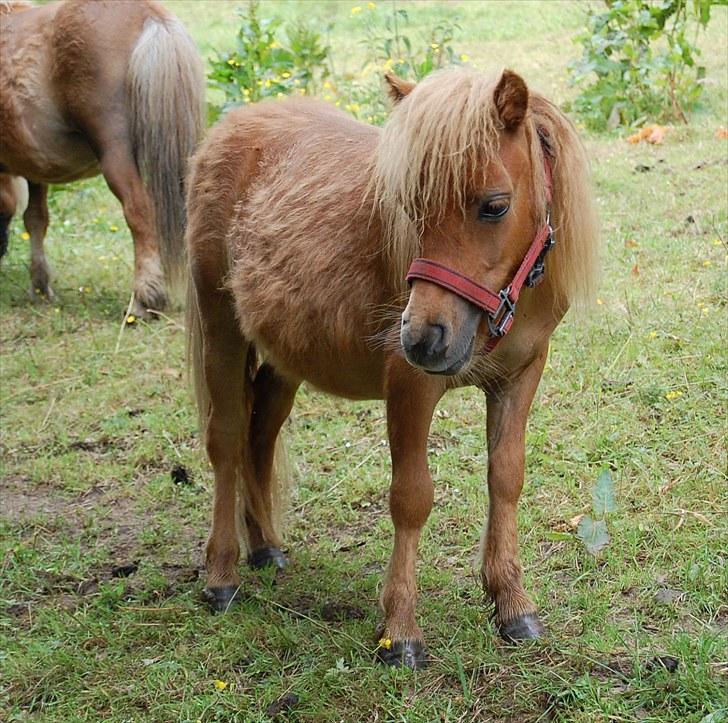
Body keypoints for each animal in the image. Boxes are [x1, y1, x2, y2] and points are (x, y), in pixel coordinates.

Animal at [0, 0, 203, 316]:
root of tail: (150, 15)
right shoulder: (37, 168)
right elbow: (35, 219)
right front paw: (40, 286)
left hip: (115, 156)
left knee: (139, 210)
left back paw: (144, 298)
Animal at [183, 65, 596, 672]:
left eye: (494, 205)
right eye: (410, 205)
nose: (423, 338)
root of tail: (228, 128)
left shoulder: (519, 376)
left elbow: (506, 478)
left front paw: (512, 603)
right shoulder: (410, 386)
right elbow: (411, 498)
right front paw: (400, 630)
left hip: (285, 357)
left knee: (260, 437)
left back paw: (266, 547)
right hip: (223, 332)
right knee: (227, 441)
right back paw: (221, 575)